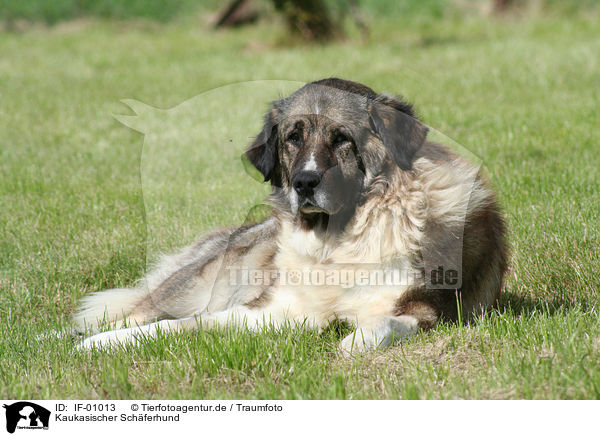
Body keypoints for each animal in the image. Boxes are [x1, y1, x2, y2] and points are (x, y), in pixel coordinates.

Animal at [74, 76, 506, 352]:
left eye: (342, 139)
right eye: (292, 138)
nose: (305, 183)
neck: (337, 243)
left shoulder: (427, 310)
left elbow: (386, 322)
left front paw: (355, 341)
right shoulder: (273, 309)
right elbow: (179, 325)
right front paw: (99, 346)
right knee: (137, 311)